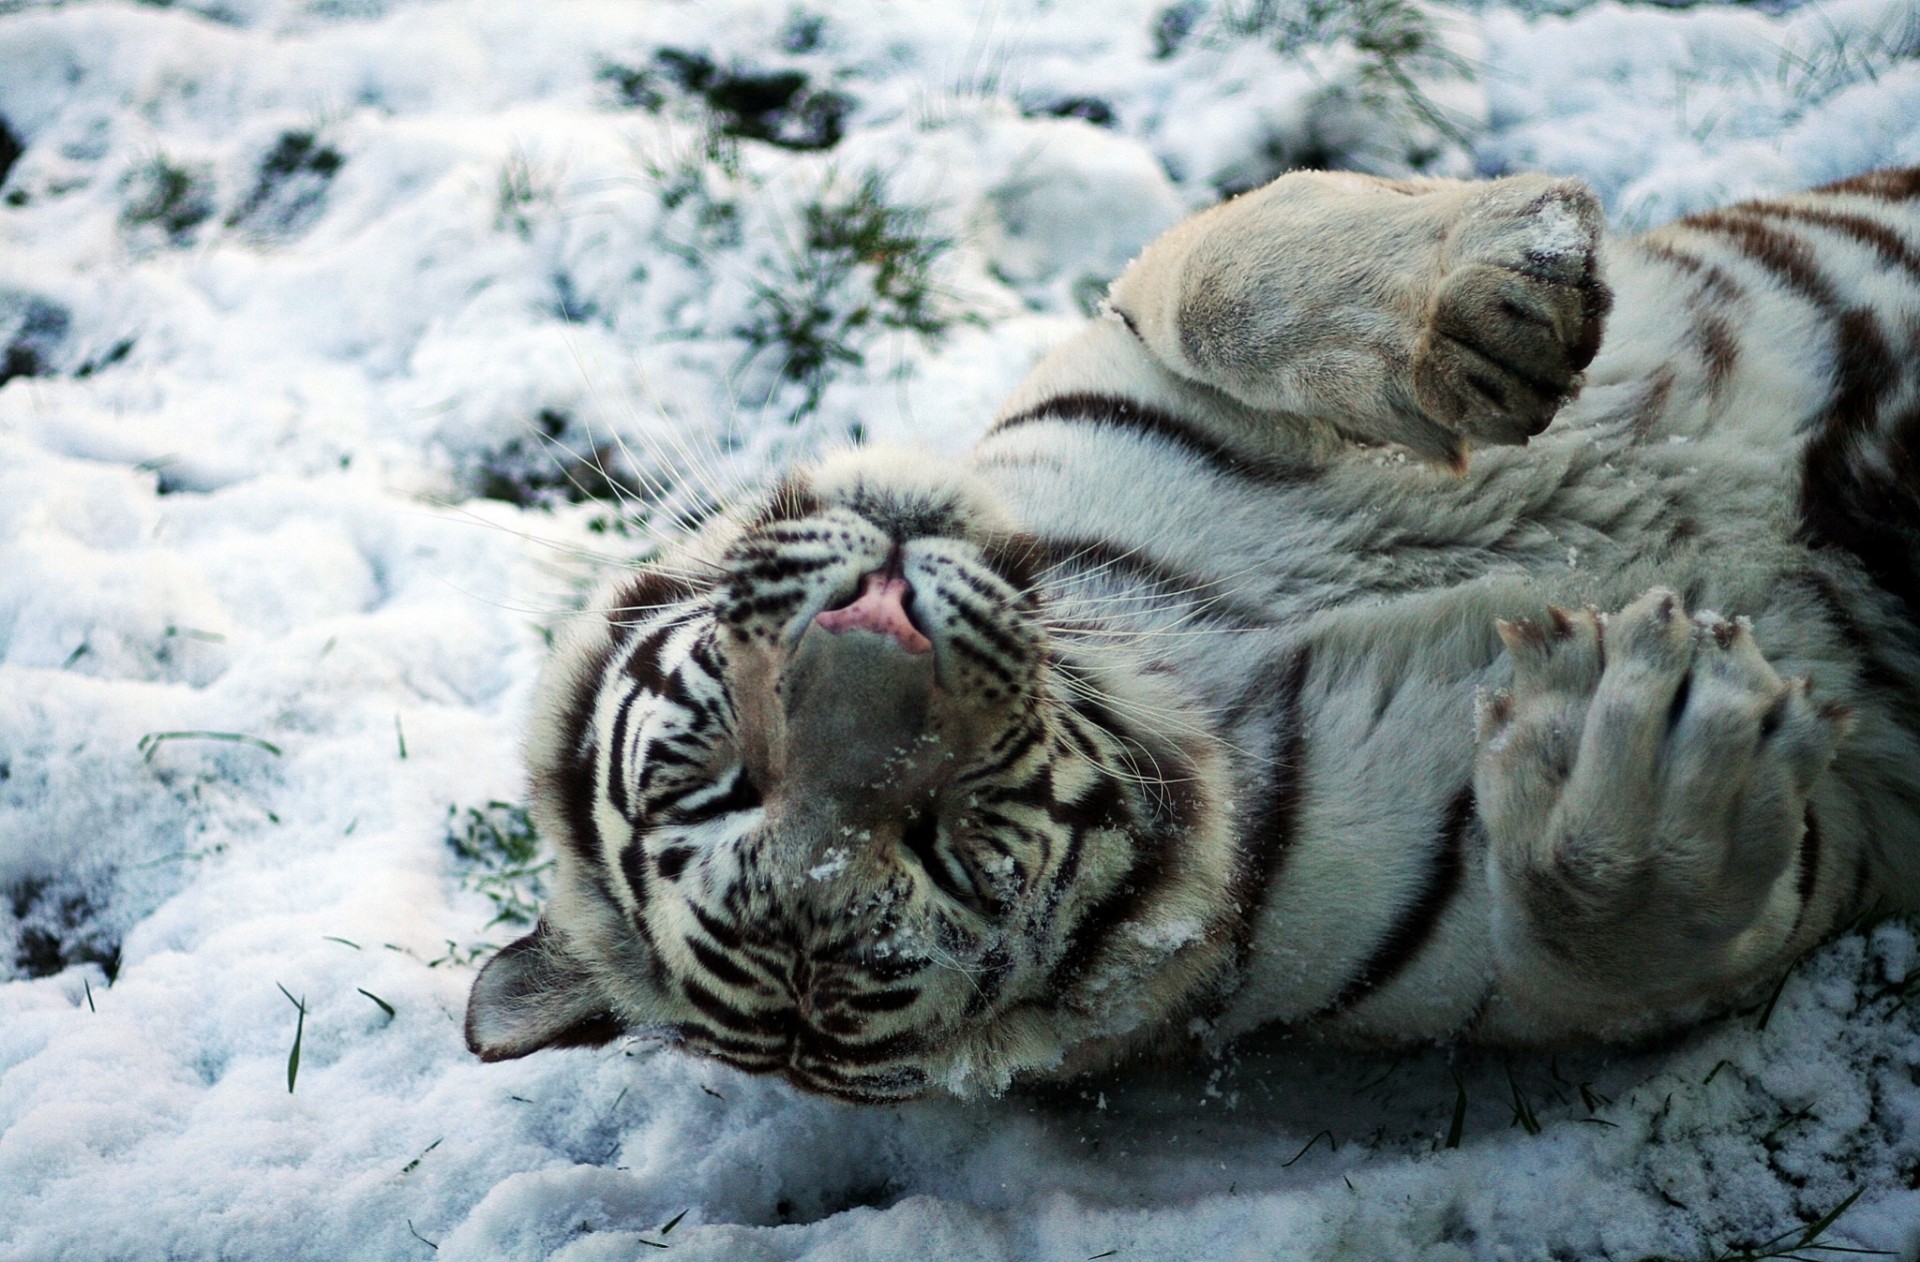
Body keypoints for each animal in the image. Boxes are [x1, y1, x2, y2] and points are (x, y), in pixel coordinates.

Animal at [463, 164, 1920, 1104]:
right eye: (940, 844)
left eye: (720, 774)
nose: (880, 639)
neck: (1185, 653)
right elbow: (1602, 918)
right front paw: (1647, 749)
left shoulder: (1128, 337)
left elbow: (1225, 267)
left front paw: (1493, 303)